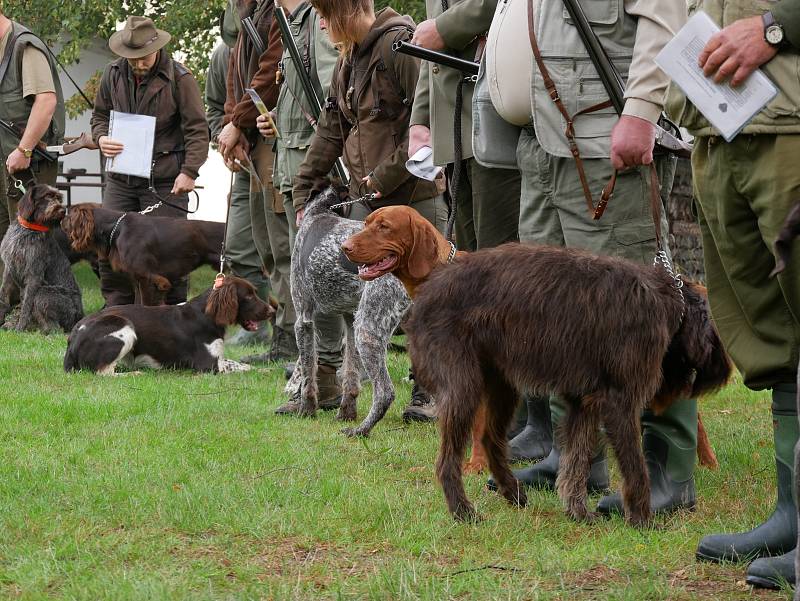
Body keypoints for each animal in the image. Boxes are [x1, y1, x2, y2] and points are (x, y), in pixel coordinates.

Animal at [0, 184, 83, 332]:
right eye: (48, 196)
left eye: (59, 198)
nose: (63, 211)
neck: (28, 230)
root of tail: (79, 317)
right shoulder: (9, 270)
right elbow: (3, 295)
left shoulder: (34, 275)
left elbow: (26, 306)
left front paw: (20, 328)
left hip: (43, 293)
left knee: (56, 329)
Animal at [65, 274, 272, 372]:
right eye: (249, 296)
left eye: (255, 292)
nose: (271, 311)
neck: (207, 315)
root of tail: (73, 336)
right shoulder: (208, 365)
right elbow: (239, 367)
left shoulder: (218, 358)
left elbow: (240, 364)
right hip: (125, 327)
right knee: (103, 371)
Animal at [286, 185, 410, 434]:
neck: (320, 209)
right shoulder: (349, 318)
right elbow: (350, 375)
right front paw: (346, 413)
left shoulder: (304, 320)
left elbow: (308, 373)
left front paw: (307, 410)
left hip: (368, 331)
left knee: (385, 392)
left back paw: (360, 431)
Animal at [344, 204, 732, 524]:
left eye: (383, 226)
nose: (725, 372)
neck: (669, 304)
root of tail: (430, 288)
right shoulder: (618, 402)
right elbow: (635, 470)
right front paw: (641, 518)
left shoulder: (584, 403)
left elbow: (576, 462)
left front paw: (578, 512)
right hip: (466, 388)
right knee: (448, 461)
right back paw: (464, 511)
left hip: (500, 387)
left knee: (490, 440)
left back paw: (512, 492)